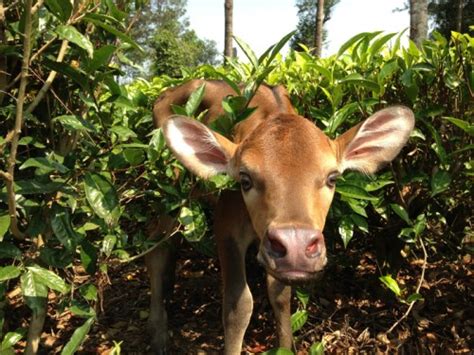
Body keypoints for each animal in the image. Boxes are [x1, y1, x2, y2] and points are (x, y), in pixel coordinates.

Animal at [146, 79, 412, 354]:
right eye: (245, 179)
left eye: (332, 178)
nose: (296, 245)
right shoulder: (226, 223)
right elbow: (238, 306)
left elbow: (280, 295)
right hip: (172, 183)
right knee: (158, 243)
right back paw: (158, 333)